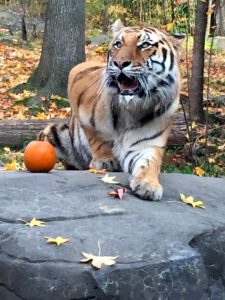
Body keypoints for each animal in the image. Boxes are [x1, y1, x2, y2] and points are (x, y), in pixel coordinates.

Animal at [38, 19, 182, 200]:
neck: (131, 109)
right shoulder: (78, 83)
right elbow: (95, 136)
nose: (119, 63)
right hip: (53, 133)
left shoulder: (148, 144)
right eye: (118, 44)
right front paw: (105, 159)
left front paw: (148, 185)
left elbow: (150, 163)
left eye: (144, 45)